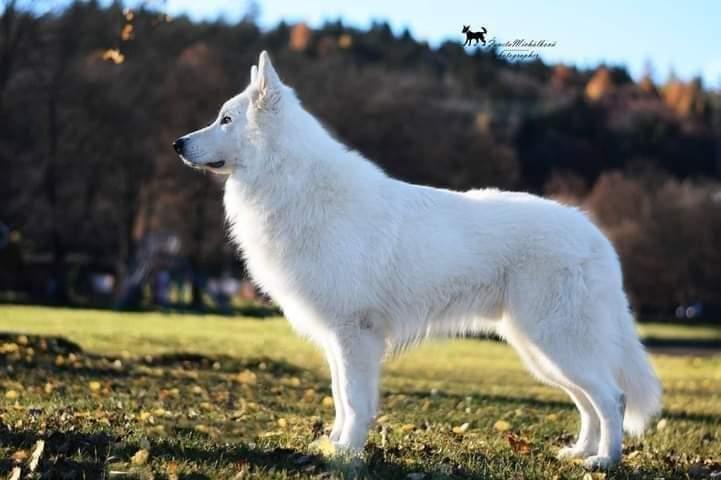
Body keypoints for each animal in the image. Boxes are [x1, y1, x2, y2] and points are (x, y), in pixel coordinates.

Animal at [173, 51, 660, 468]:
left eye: (226, 119)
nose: (177, 143)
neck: (290, 179)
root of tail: (597, 238)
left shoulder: (355, 334)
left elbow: (354, 400)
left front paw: (349, 453)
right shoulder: (338, 338)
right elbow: (340, 396)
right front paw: (335, 444)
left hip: (555, 340)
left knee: (611, 397)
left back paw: (604, 460)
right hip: (540, 349)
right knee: (590, 402)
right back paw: (580, 452)